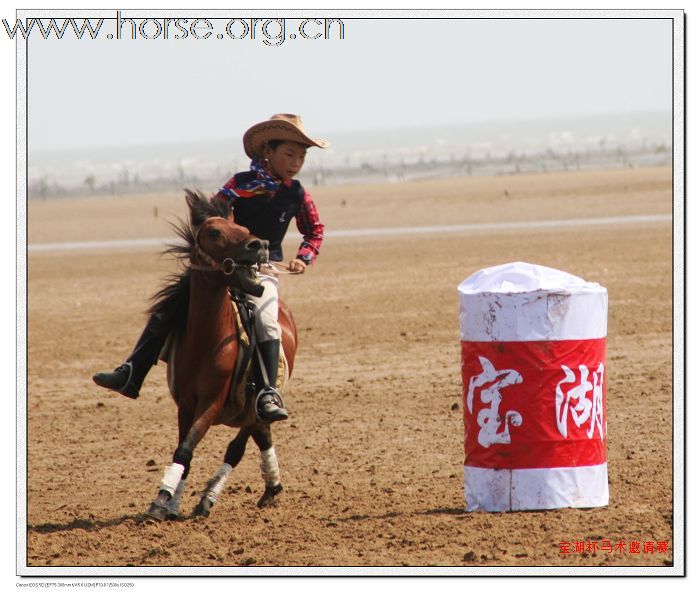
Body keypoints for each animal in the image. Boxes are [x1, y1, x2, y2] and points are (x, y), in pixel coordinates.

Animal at [145, 190, 298, 520]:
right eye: (214, 232)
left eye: (241, 226)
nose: (259, 245)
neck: (206, 341)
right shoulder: (185, 404)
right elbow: (184, 449)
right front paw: (170, 501)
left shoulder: (212, 403)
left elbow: (188, 446)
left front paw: (162, 501)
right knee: (263, 435)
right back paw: (271, 488)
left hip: (253, 407)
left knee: (240, 445)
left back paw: (209, 497)